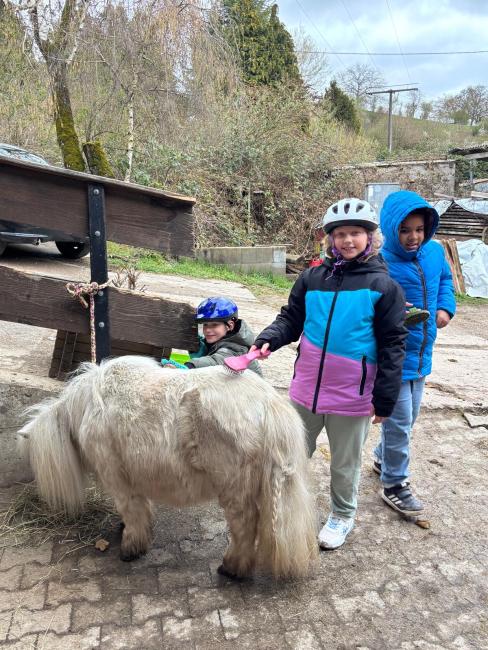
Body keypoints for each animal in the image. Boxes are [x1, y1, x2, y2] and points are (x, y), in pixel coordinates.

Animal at [18, 356, 317, 579]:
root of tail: (270, 404)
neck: (85, 408)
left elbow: (131, 511)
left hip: (234, 489)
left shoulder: (118, 480)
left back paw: (231, 568)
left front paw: (130, 548)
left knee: (244, 526)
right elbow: (139, 509)